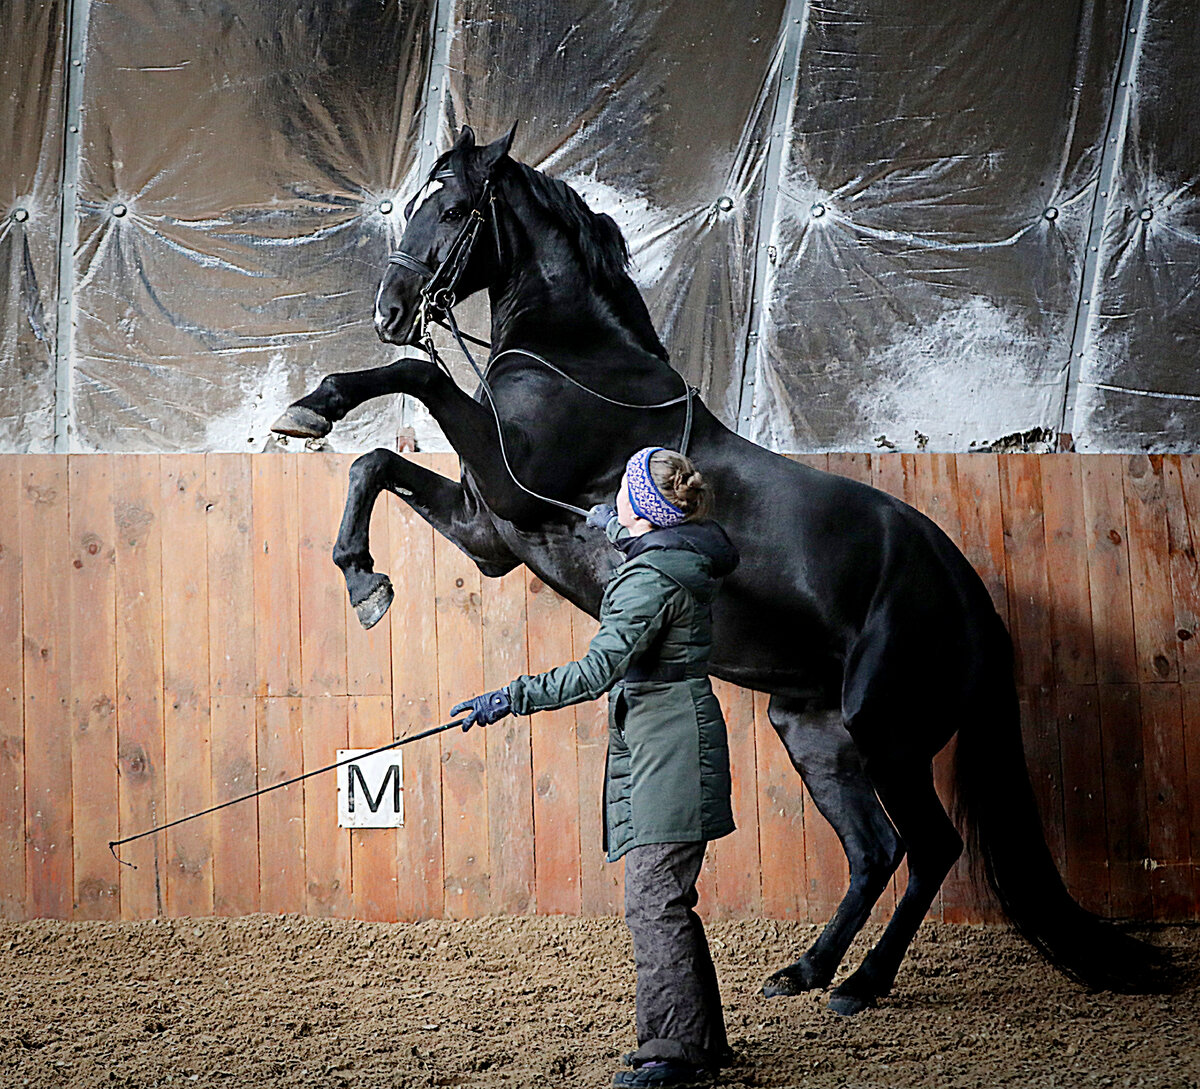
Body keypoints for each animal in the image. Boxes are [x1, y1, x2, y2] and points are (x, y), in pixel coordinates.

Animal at [272, 125, 1152, 1012]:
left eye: (453, 209)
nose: (389, 310)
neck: (582, 365)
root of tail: (969, 596)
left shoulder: (510, 485)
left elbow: (416, 378)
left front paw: (315, 413)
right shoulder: (491, 531)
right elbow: (376, 463)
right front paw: (363, 577)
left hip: (890, 738)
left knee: (930, 848)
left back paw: (859, 984)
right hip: (815, 731)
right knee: (874, 850)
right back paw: (805, 970)